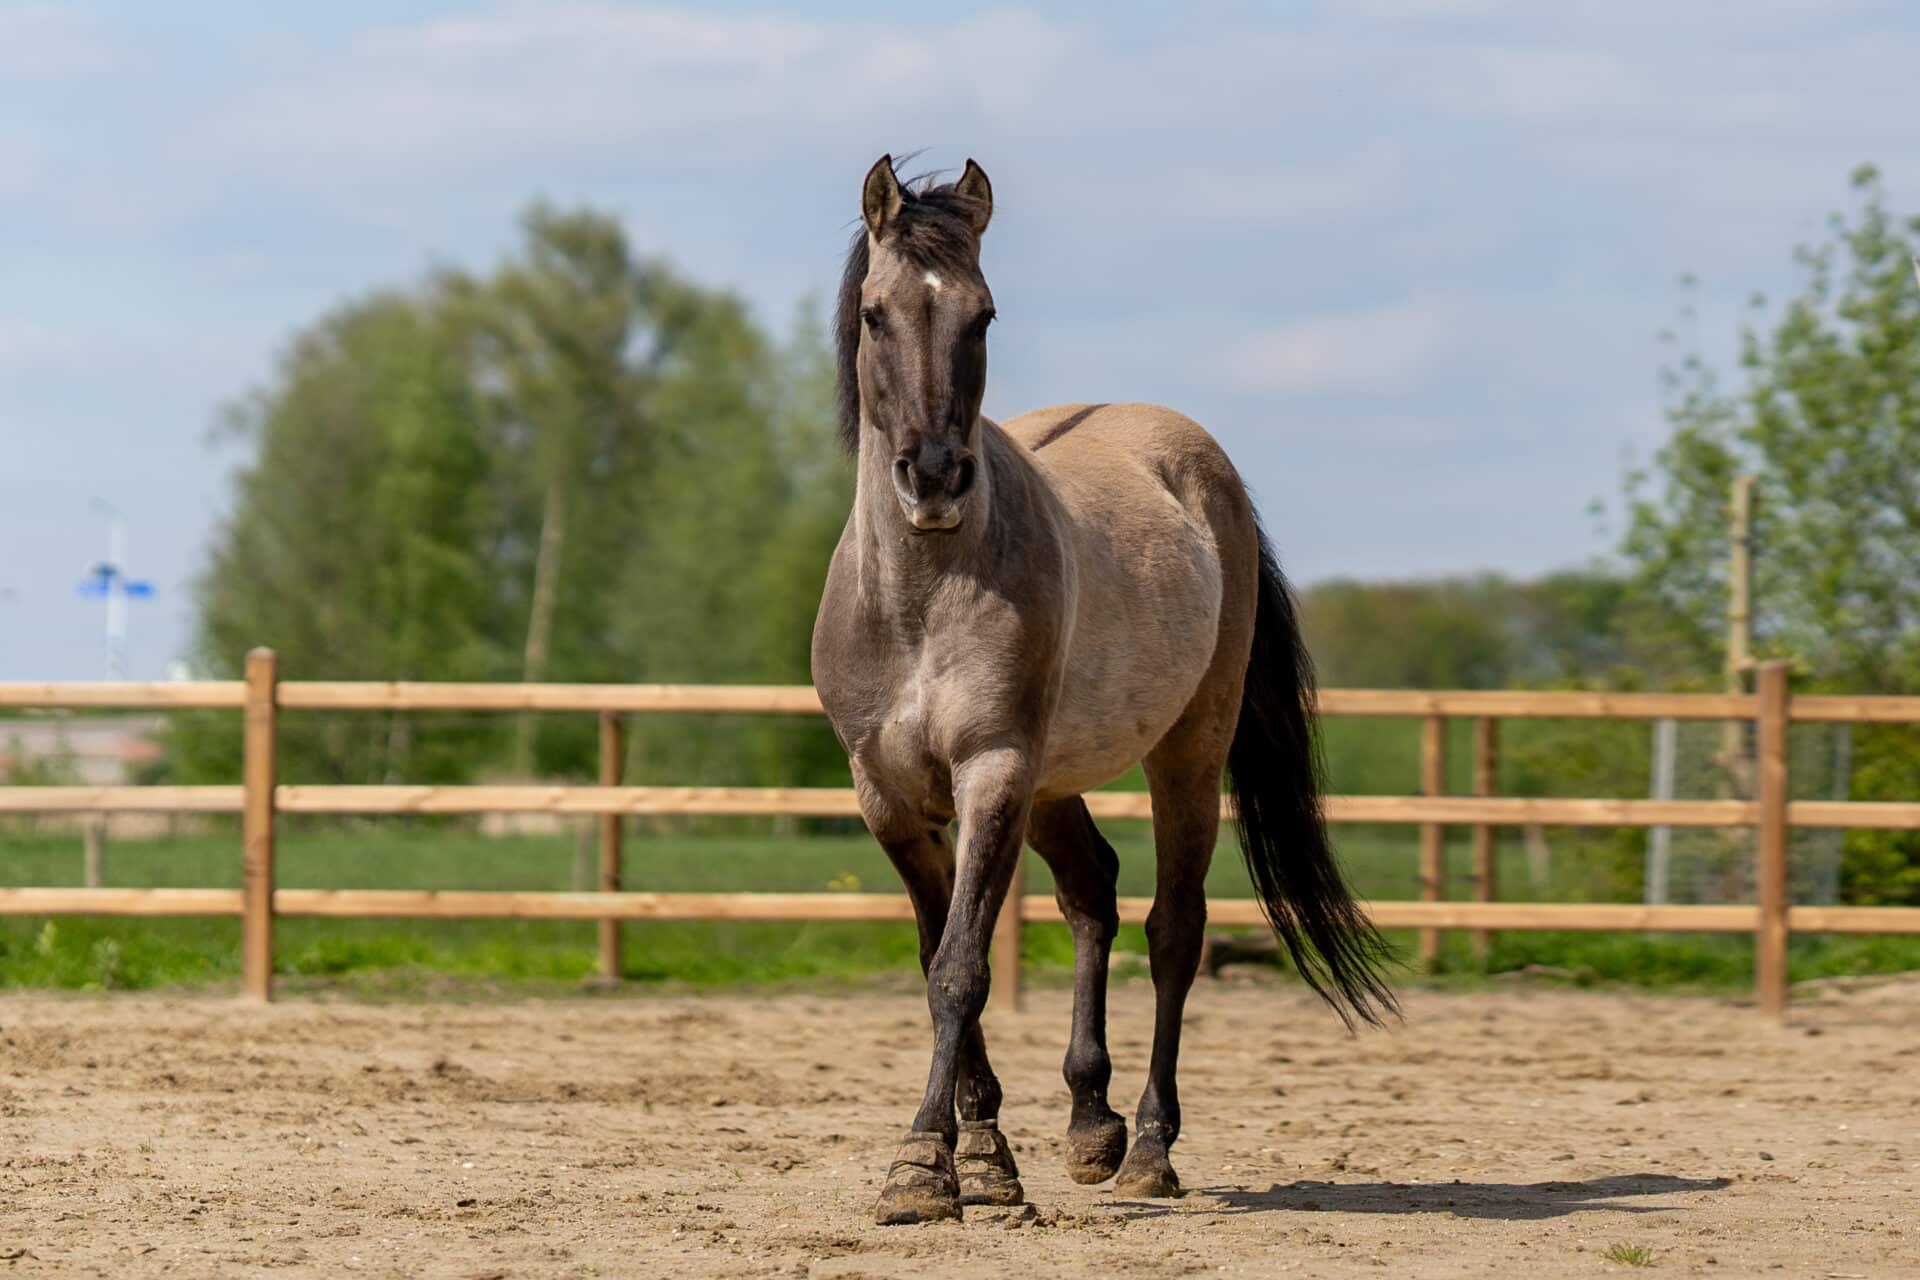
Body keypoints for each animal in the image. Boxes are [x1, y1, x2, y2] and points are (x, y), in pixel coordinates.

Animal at [809, 155, 1396, 1226]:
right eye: (875, 314)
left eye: (984, 315)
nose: (935, 478)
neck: (921, 597)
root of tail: (1204, 467)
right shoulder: (889, 796)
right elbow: (935, 954)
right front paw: (984, 1159)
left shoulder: (993, 772)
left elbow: (960, 968)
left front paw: (924, 1168)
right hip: (1053, 785)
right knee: (1093, 895)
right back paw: (1091, 1124)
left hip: (1184, 755)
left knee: (1173, 930)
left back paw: (1151, 1147)